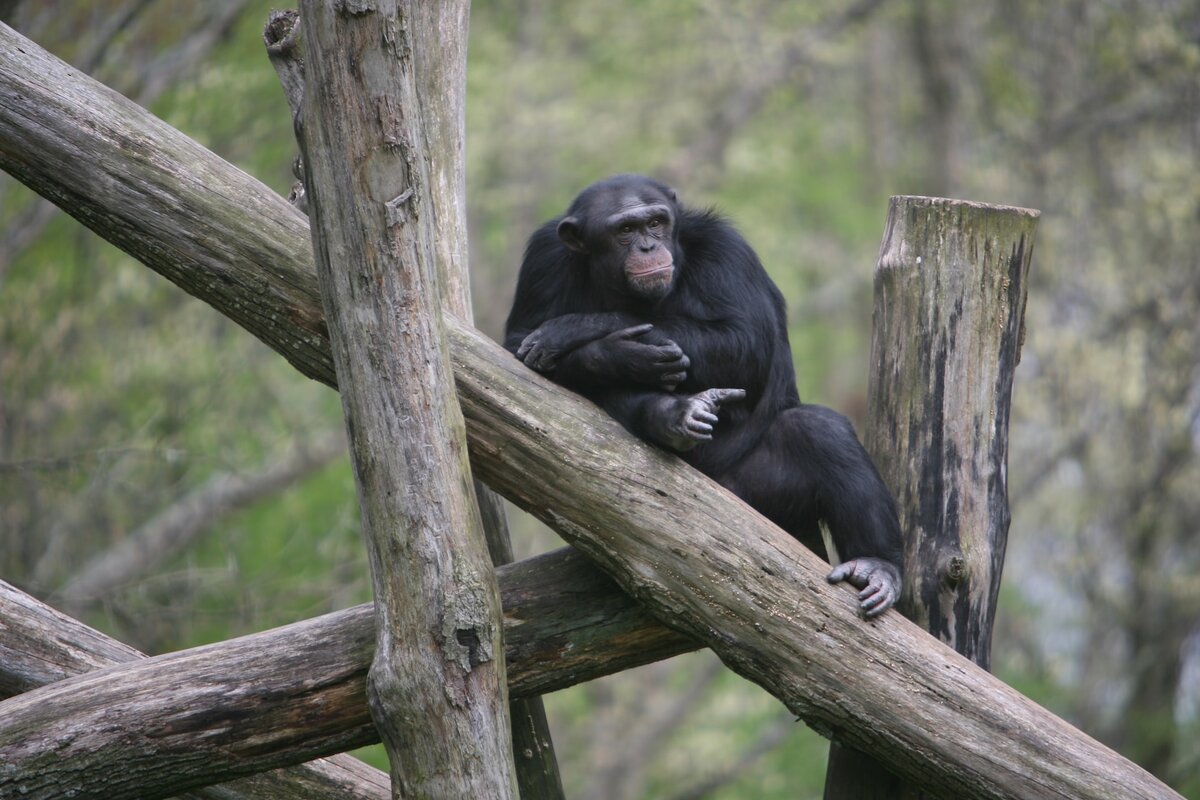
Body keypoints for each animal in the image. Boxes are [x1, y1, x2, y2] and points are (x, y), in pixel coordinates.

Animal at [501, 173, 902, 614]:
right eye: (624, 230)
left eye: (655, 222)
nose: (647, 246)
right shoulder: (544, 258)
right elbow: (517, 344)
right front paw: (615, 354)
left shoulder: (725, 248)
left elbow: (744, 338)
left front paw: (578, 328)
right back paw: (676, 415)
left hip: (761, 500)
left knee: (820, 429)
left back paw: (877, 564)